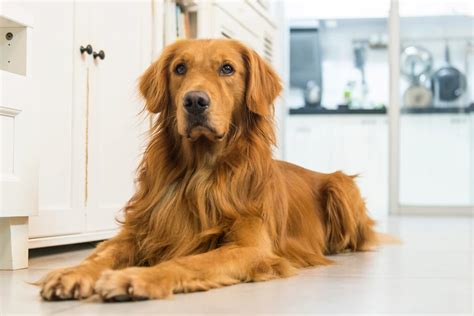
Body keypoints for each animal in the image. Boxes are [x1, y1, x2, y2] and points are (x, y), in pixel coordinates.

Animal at [37, 39, 378, 302]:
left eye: (227, 68)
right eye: (179, 68)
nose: (195, 101)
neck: (199, 173)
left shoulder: (251, 248)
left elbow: (187, 262)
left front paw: (135, 278)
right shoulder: (140, 230)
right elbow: (102, 254)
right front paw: (72, 273)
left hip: (341, 185)